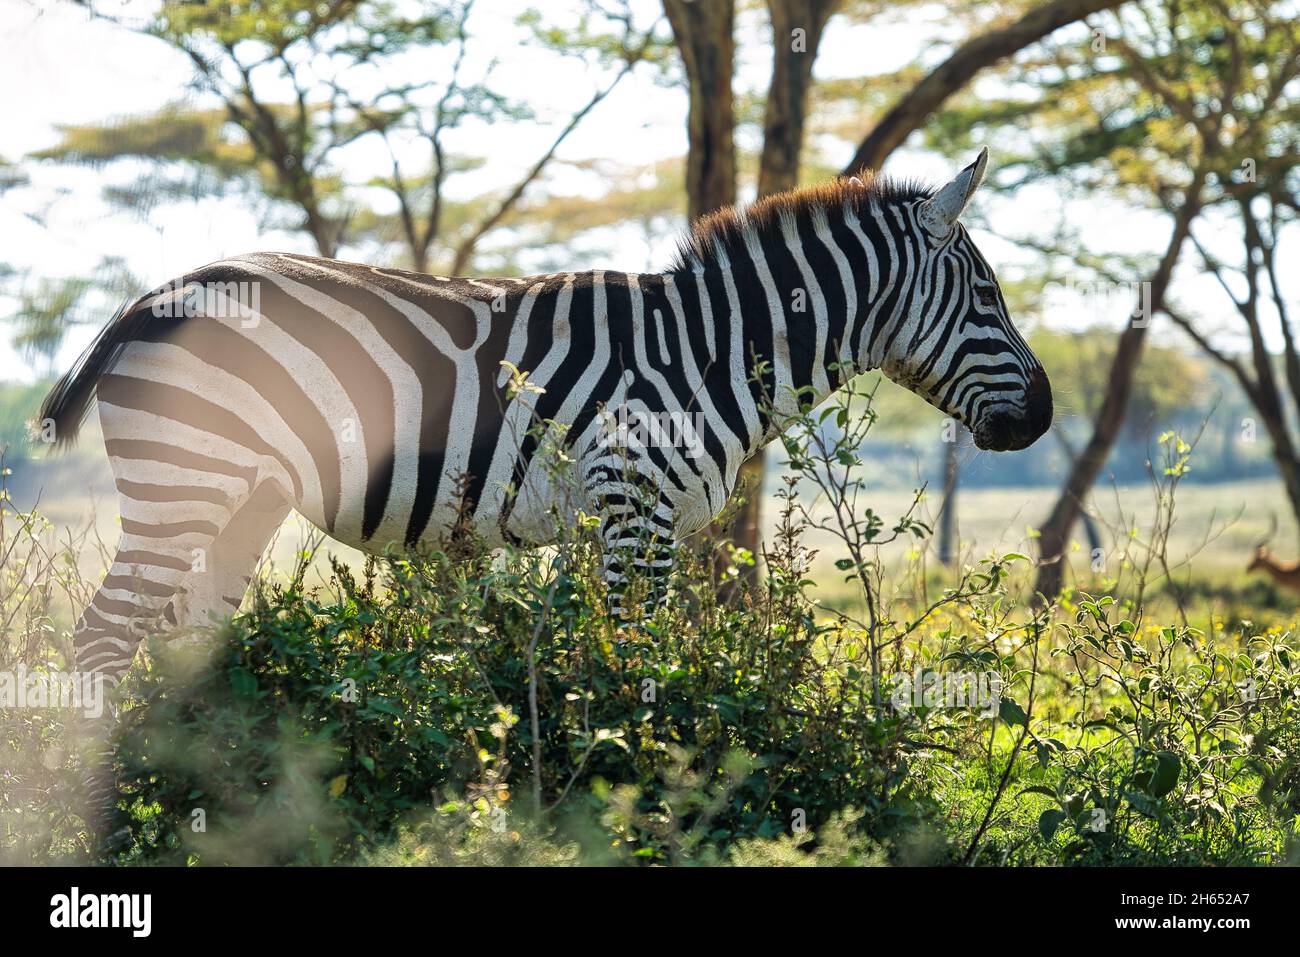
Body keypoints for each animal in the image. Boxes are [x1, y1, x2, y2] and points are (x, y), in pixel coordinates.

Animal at [39, 148, 1050, 833]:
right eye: (988, 299)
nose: (1041, 415)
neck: (708, 352)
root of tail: (145, 297)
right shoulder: (635, 510)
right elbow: (634, 667)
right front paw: (639, 802)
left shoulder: (636, 522)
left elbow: (603, 666)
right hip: (186, 478)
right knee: (99, 641)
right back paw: (95, 814)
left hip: (242, 498)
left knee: (186, 644)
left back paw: (212, 802)